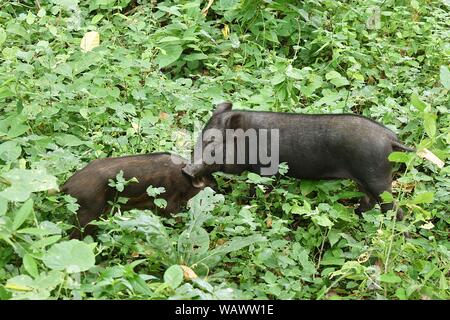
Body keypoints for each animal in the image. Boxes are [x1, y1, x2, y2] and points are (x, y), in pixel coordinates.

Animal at [184, 102, 414, 218]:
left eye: (212, 141)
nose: (186, 169)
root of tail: (391, 139)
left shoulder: (267, 171)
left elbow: (259, 190)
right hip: (365, 179)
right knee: (368, 201)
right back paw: (354, 214)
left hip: (377, 176)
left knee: (394, 208)